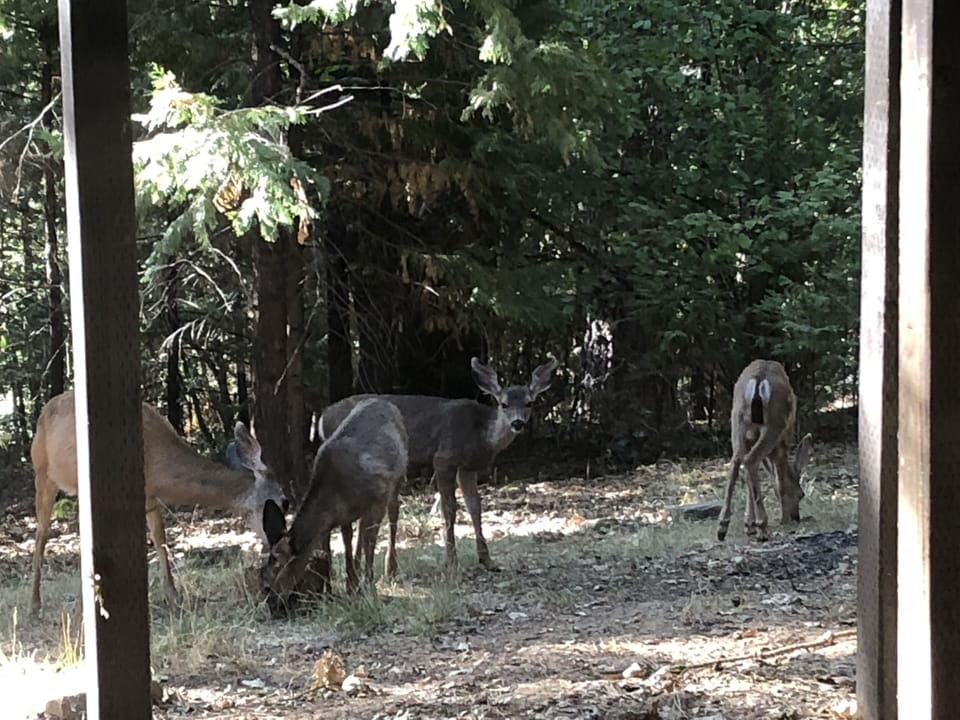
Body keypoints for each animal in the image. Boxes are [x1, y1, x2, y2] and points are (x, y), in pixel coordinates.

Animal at [30, 390, 289, 617]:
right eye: (285, 502)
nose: (281, 543)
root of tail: (43, 411)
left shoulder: (151, 499)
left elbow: (160, 541)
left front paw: (174, 597)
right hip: (42, 472)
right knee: (42, 532)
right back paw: (35, 605)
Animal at [259, 397, 408, 614]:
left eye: (267, 585)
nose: (271, 606)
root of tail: (385, 402)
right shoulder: (338, 517)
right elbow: (338, 546)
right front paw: (341, 588)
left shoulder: (378, 495)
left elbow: (370, 541)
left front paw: (369, 586)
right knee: (360, 530)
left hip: (398, 477)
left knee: (393, 517)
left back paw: (390, 570)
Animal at [318, 356, 559, 574]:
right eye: (504, 404)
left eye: (529, 403)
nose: (517, 423)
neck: (481, 434)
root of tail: (321, 417)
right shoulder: (445, 457)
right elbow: (448, 508)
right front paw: (452, 563)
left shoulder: (468, 467)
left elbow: (475, 506)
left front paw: (488, 561)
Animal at [717, 359, 814, 542]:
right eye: (801, 494)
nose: (796, 517)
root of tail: (758, 379)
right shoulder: (783, 442)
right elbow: (780, 479)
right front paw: (783, 519)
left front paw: (749, 525)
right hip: (774, 423)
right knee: (750, 460)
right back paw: (762, 527)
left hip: (737, 421)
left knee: (736, 463)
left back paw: (722, 527)